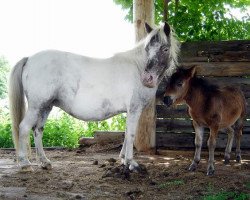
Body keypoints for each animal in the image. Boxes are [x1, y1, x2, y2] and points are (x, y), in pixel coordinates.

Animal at [8, 21, 179, 172]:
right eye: (147, 49)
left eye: (165, 49)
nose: (147, 78)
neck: (137, 68)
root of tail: (29, 59)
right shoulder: (135, 109)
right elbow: (131, 134)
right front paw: (131, 163)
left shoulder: (129, 111)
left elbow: (125, 134)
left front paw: (123, 159)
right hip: (36, 106)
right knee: (24, 128)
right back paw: (25, 164)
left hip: (45, 107)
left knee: (38, 130)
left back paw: (44, 162)